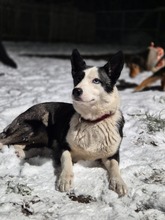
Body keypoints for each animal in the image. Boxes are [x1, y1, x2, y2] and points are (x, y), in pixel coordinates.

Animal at [0, 49, 127, 196]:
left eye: (96, 81)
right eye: (78, 79)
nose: (76, 90)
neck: (92, 121)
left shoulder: (113, 155)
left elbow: (115, 167)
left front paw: (119, 182)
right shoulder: (63, 147)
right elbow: (67, 160)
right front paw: (65, 179)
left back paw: (20, 153)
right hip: (38, 128)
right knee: (4, 139)